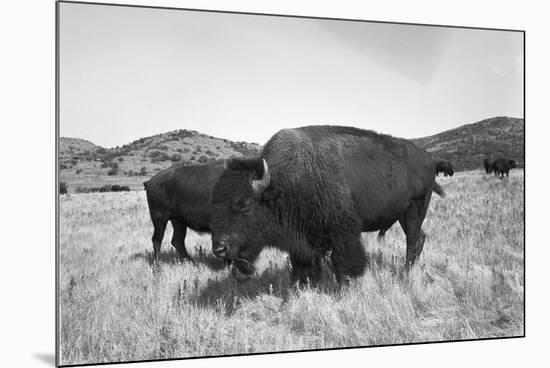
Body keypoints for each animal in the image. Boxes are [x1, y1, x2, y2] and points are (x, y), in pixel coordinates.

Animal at [209, 126, 446, 284]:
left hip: (415, 210)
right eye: (215, 205)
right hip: (403, 216)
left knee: (412, 242)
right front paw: (306, 284)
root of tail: (429, 159)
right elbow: (304, 265)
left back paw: (404, 276)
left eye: (246, 205)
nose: (219, 249)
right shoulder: (304, 241)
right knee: (420, 238)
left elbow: (344, 263)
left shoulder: (343, 233)